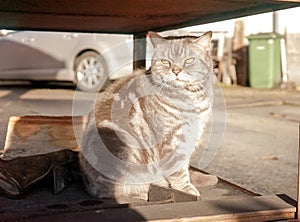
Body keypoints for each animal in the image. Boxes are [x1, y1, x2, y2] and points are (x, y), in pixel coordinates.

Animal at [78, 30, 214, 199]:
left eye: (189, 60)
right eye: (165, 61)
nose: (176, 70)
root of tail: (87, 182)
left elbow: (184, 166)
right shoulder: (172, 140)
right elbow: (178, 171)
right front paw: (185, 189)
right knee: (115, 191)